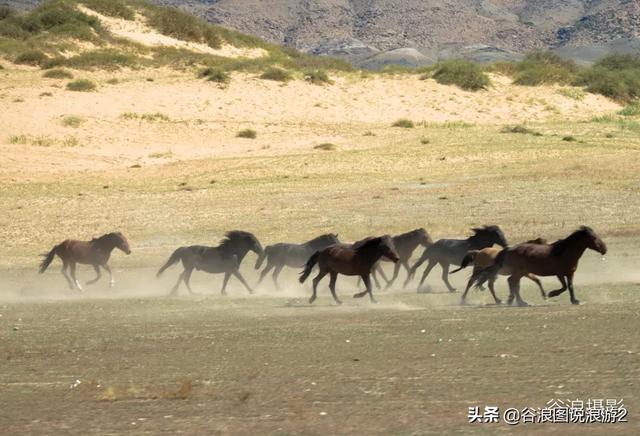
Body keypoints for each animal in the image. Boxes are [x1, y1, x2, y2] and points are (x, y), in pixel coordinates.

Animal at [472, 227, 608, 304]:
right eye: (594, 237)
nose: (604, 249)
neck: (564, 253)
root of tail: (509, 249)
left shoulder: (569, 273)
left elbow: (570, 287)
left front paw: (575, 300)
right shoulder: (559, 274)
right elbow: (564, 287)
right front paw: (551, 294)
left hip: (521, 272)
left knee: (512, 282)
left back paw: (516, 301)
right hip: (520, 272)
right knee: (512, 282)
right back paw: (518, 302)